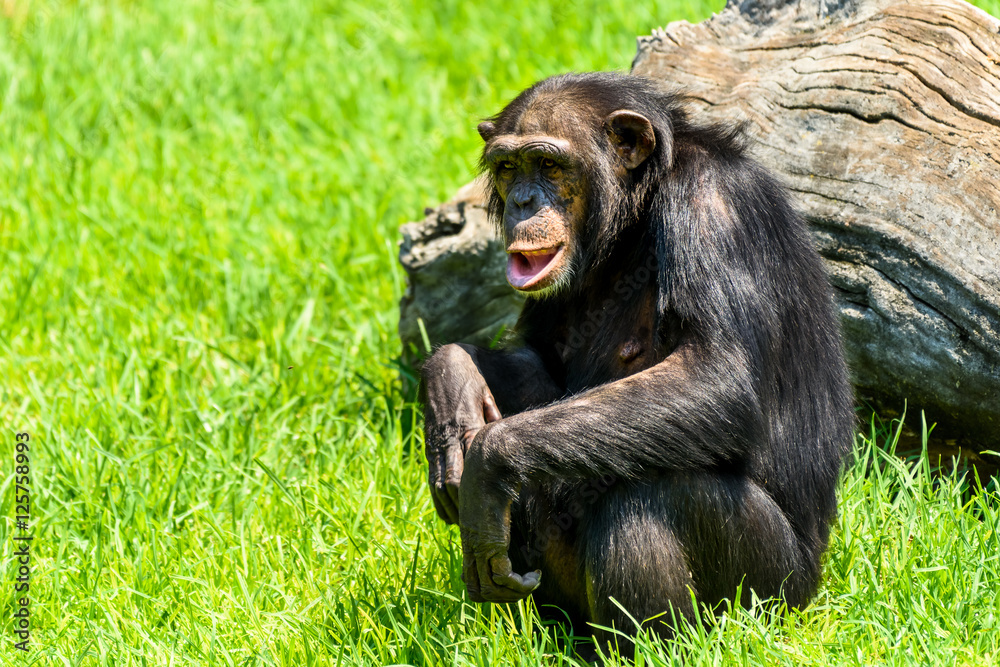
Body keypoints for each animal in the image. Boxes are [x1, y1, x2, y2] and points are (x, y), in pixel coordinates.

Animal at [418, 72, 856, 648]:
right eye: (509, 166)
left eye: (549, 164)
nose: (523, 201)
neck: (635, 216)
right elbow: (540, 367)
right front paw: (451, 380)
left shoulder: (713, 208)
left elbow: (716, 378)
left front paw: (488, 467)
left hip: (774, 595)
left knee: (649, 494)